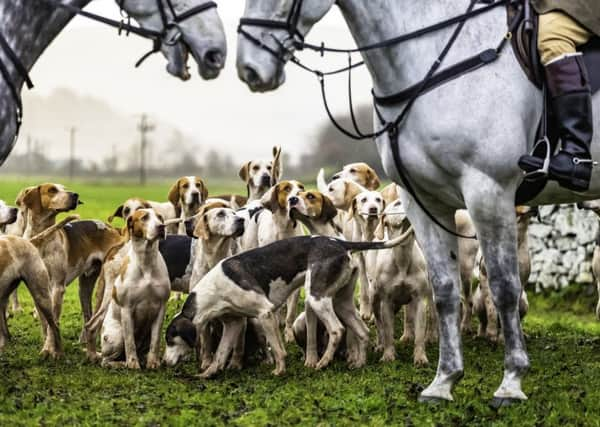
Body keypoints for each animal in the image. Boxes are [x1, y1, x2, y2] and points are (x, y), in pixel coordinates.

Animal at [20, 184, 122, 342]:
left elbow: (53, 323)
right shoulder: (38, 290)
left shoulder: (57, 287)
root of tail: (114, 229)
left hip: (105, 287)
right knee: (88, 316)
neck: (42, 238)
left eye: (64, 188)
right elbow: (45, 323)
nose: (75, 195)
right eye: (52, 190)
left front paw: (51, 345)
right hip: (84, 287)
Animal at [99, 209, 168, 370]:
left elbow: (155, 341)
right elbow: (130, 342)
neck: (146, 261)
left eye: (160, 217)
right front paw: (132, 364)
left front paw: (153, 362)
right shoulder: (127, 309)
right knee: (105, 361)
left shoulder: (161, 308)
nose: (161, 227)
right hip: (116, 336)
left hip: (146, 335)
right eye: (144, 218)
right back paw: (121, 363)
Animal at [234, 0, 600, 404]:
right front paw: (444, 381)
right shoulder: (425, 201)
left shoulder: (489, 191)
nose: (249, 68)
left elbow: (505, 288)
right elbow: (443, 290)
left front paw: (511, 381)